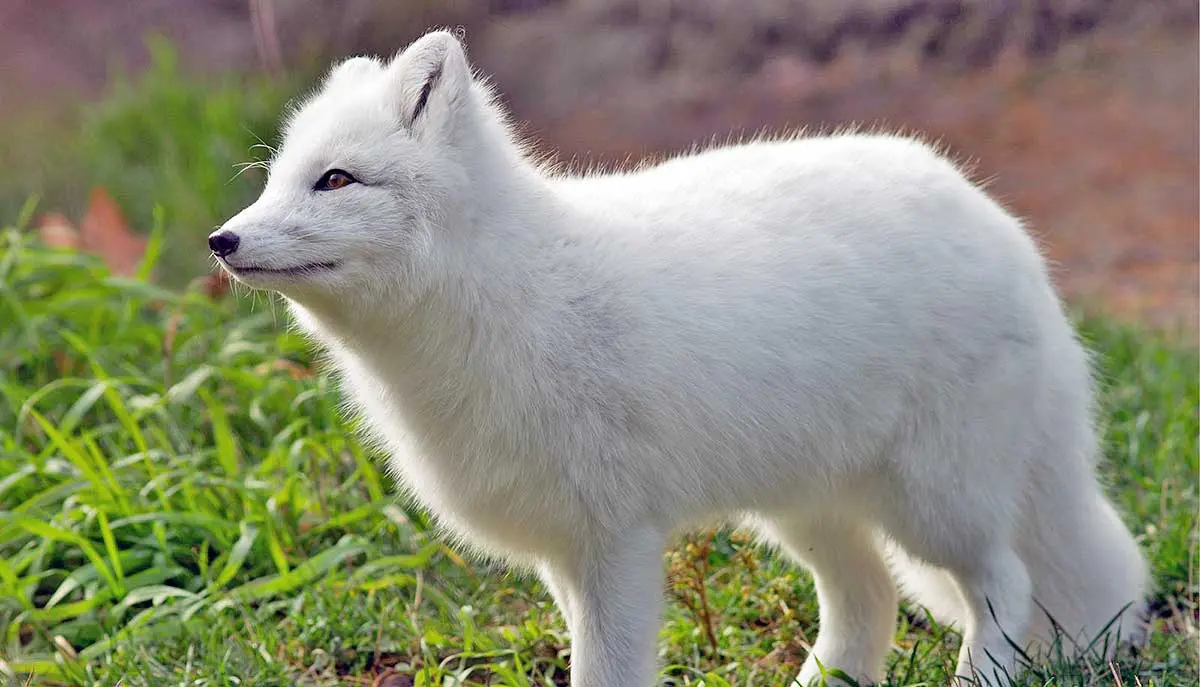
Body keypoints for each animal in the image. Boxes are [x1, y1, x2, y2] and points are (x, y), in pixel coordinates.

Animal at [213, 29, 1152, 682]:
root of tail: (996, 221)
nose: (222, 241)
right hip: (805, 509)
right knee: (872, 601)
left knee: (1006, 582)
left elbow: (608, 670)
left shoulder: (616, 540)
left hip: (934, 502)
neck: (511, 298)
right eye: (277, 179)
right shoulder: (564, 552)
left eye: (335, 180)